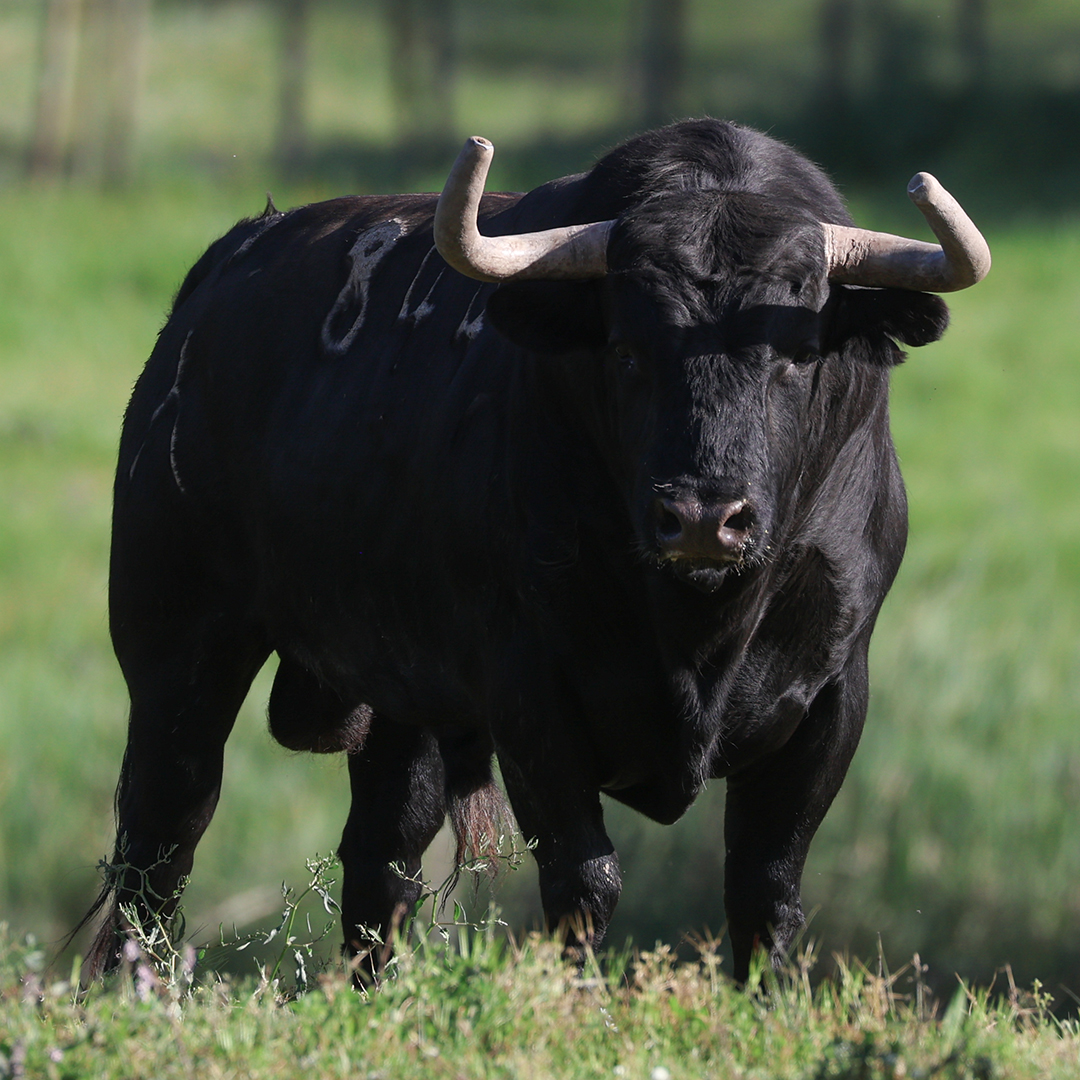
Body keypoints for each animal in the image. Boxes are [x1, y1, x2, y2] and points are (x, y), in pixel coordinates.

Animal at [78, 122, 989, 984]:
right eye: (625, 348)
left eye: (798, 355)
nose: (703, 518)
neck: (698, 635)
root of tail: (212, 289)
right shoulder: (531, 693)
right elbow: (586, 884)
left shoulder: (834, 695)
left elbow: (766, 891)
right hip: (176, 649)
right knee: (161, 842)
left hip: (402, 696)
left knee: (382, 859)